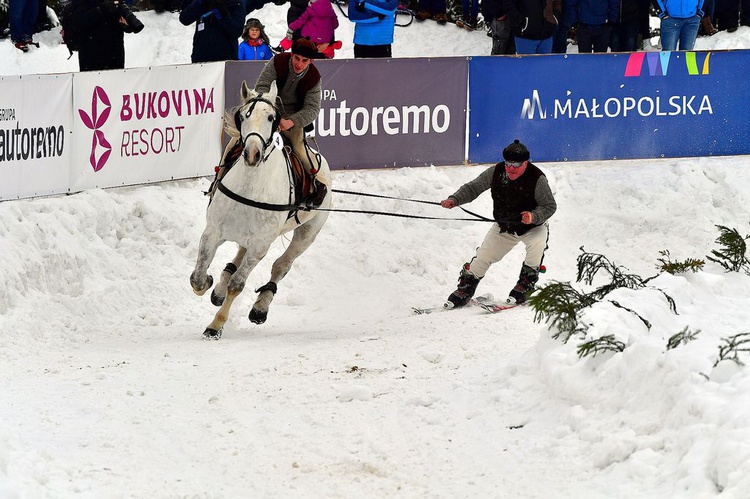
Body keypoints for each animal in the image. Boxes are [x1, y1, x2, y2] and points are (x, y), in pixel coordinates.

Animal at [191, 81, 332, 340]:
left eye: (271, 117)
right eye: (243, 116)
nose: (252, 154)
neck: (251, 186)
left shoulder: (260, 246)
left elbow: (238, 284)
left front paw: (215, 325)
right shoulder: (213, 231)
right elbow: (197, 277)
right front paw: (208, 282)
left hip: (307, 232)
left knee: (281, 265)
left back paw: (260, 307)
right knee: (238, 255)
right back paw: (219, 289)